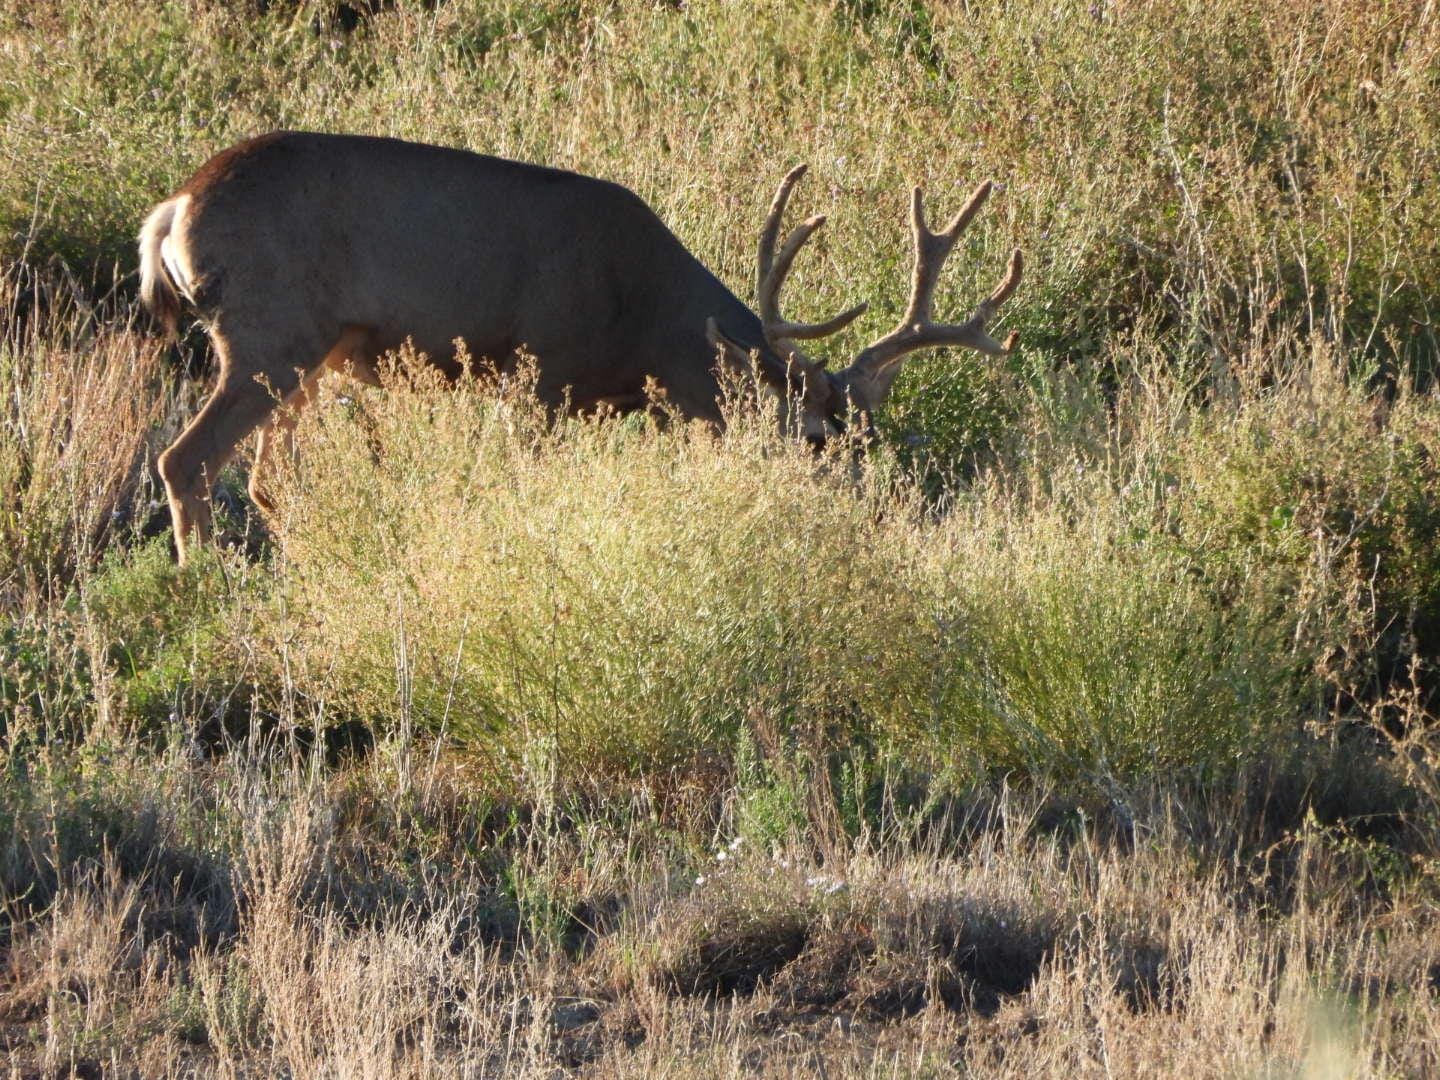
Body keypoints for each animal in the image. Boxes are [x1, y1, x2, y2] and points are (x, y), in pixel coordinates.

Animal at [138, 132, 1021, 563]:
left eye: (866, 440)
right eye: (812, 437)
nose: (869, 514)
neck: (647, 328)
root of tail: (173, 208)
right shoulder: (540, 369)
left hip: (311, 355)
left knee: (266, 483)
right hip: (269, 332)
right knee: (187, 460)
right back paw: (202, 582)